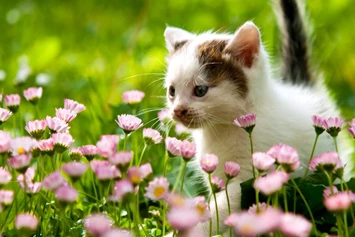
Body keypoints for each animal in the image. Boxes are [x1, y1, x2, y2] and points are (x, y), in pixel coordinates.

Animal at [164, 0, 354, 235]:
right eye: (172, 91)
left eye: (200, 90)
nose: (178, 110)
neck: (223, 128)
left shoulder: (253, 173)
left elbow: (221, 206)